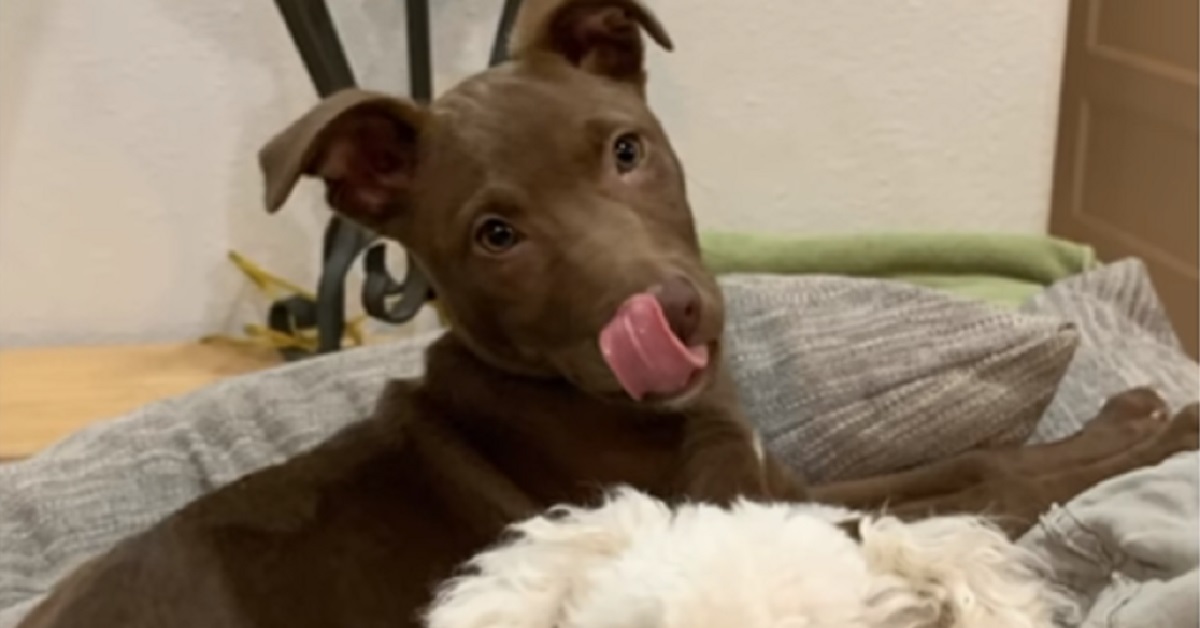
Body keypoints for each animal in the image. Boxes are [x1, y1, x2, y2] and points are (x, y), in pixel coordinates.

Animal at [14, 1, 1195, 628]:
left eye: (626, 150)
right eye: (496, 234)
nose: (669, 314)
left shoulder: (785, 485)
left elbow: (971, 453)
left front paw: (1129, 418)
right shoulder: (770, 515)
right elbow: (990, 482)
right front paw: (1166, 429)